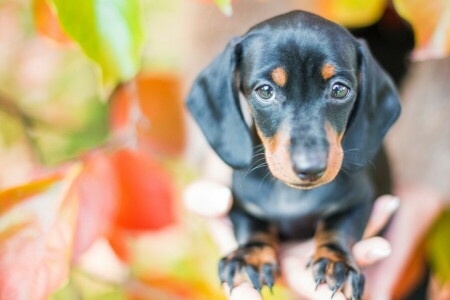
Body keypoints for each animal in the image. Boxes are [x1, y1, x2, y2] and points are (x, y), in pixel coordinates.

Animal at [186, 9, 400, 300]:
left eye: (339, 89)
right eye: (265, 90)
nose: (311, 168)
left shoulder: (359, 200)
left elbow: (339, 226)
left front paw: (336, 261)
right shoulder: (241, 203)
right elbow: (253, 226)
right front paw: (250, 256)